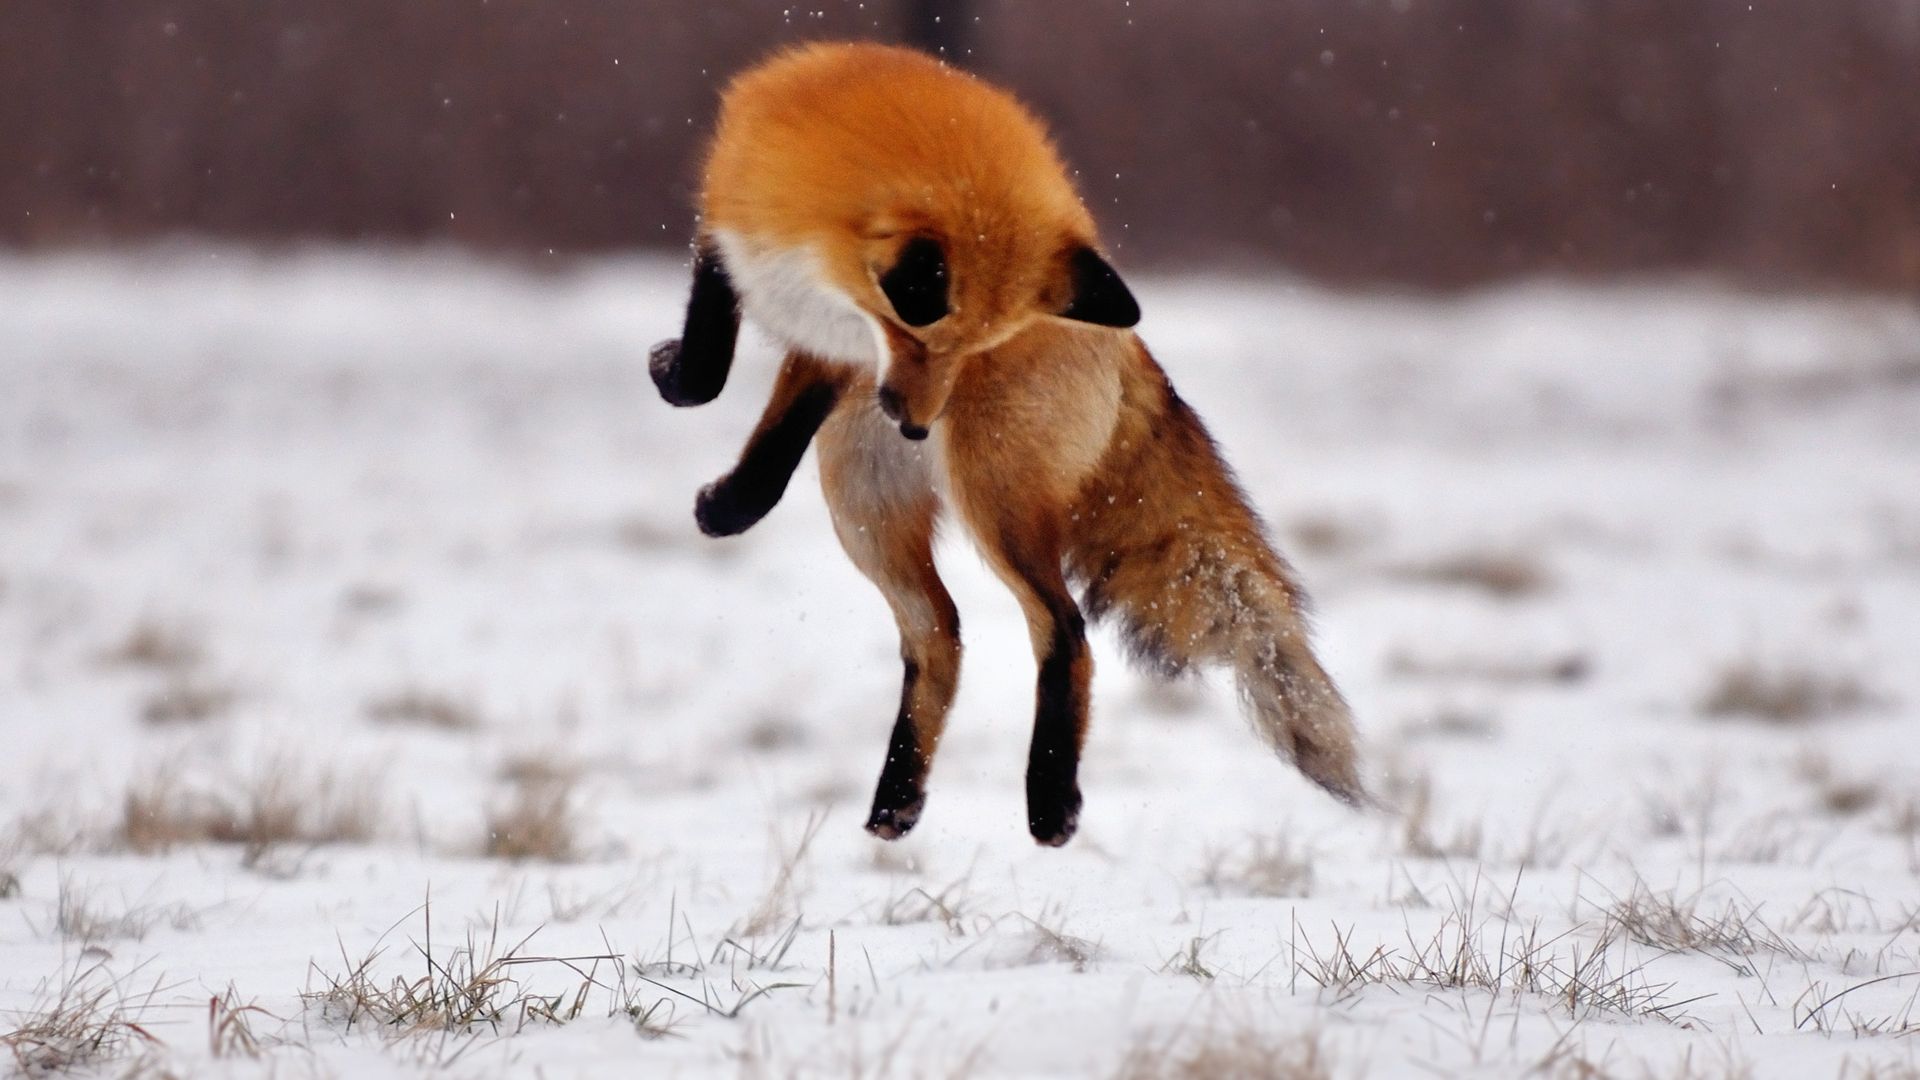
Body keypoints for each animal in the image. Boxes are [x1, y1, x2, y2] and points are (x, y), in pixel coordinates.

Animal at [649, 42, 1363, 846]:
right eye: (921, 338)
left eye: (969, 349)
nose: (913, 424)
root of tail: (1132, 344)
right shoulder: (779, 283)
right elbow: (752, 427)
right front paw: (726, 498)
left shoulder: (816, 321)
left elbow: (716, 381)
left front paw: (683, 404)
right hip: (863, 506)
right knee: (941, 635)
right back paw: (898, 802)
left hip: (990, 500)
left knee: (1065, 628)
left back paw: (1049, 800)